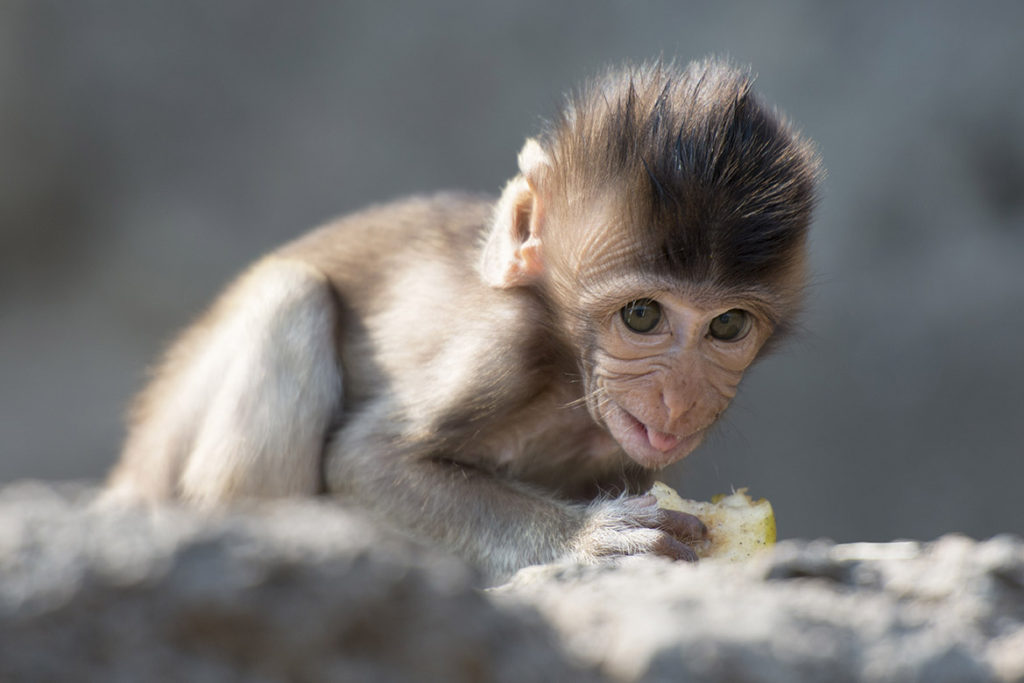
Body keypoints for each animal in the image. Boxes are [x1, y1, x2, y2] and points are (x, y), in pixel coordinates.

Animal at [103, 58, 819, 581]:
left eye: (727, 326)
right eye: (642, 314)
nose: (679, 398)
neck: (569, 370)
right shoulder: (497, 349)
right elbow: (366, 461)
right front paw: (589, 537)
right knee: (292, 296)